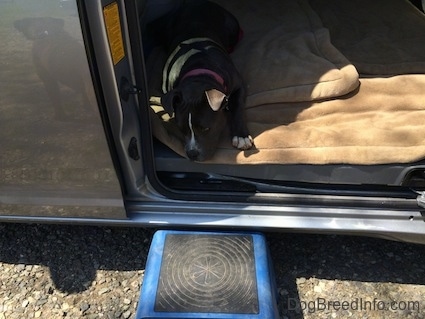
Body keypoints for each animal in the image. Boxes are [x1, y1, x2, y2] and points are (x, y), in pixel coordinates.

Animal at [148, 0, 252, 160]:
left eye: (205, 128)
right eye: (181, 129)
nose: (192, 154)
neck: (199, 71)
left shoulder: (239, 85)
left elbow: (238, 106)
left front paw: (241, 136)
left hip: (232, 28)